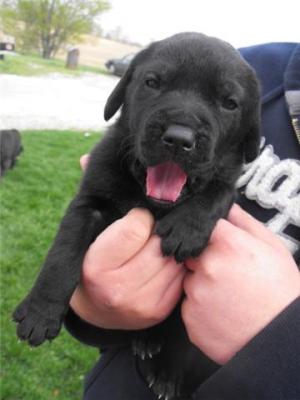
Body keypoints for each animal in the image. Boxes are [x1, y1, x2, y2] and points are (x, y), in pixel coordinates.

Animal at [13, 33, 260, 400]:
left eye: (229, 103)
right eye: (153, 83)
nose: (179, 139)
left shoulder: (227, 183)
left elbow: (219, 190)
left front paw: (187, 228)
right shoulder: (89, 202)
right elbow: (62, 256)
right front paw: (40, 311)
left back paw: (162, 366)